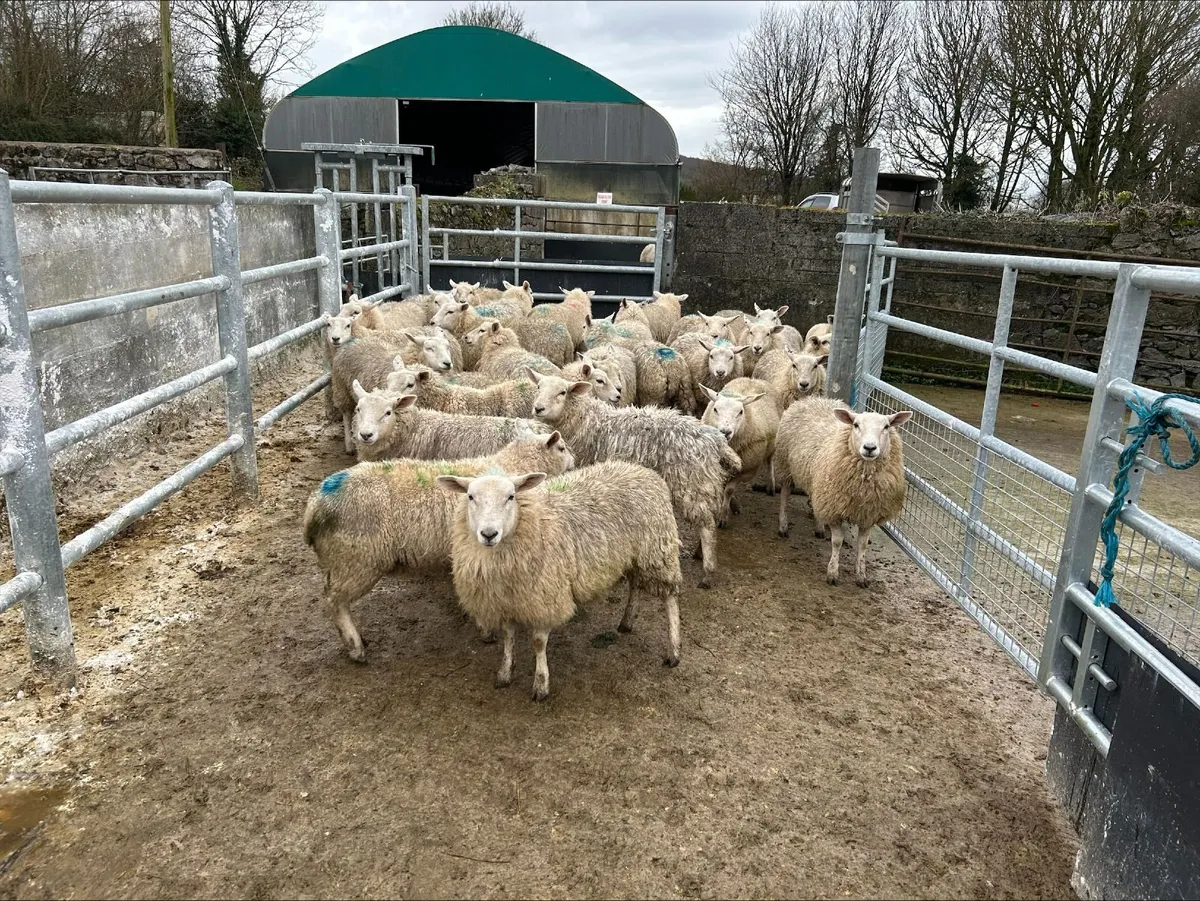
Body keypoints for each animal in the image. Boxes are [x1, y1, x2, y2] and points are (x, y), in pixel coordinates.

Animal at [303, 431, 575, 662]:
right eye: (562, 447)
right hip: (356, 559)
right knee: (335, 602)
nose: (574, 462)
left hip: (342, 559)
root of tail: (316, 505)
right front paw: (486, 631)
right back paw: (355, 646)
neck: (511, 465)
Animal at [438, 460, 682, 700]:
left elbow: (538, 642)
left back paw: (674, 651)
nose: (489, 534)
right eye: (470, 497)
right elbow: (508, 636)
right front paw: (505, 672)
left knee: (670, 598)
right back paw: (627, 621)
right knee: (635, 584)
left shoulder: (546, 598)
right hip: (636, 556)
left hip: (658, 550)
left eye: (511, 496)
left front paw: (541, 685)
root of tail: (642, 470)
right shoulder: (506, 600)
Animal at [528, 371, 741, 587]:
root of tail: (716, 441)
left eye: (562, 392)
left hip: (692, 482)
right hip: (703, 484)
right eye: (538, 386)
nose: (538, 408)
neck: (587, 421)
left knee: (707, 526)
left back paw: (707, 571)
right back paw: (700, 553)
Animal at [699, 378, 780, 527]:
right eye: (715, 409)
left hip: (773, 444)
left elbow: (729, 490)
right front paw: (732, 505)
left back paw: (771, 485)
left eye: (741, 412)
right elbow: (722, 487)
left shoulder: (746, 470)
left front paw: (724, 516)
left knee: (770, 460)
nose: (725, 432)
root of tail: (753, 379)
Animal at [774, 398, 912, 586]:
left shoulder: (868, 514)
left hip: (819, 484)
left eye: (886, 426)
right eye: (856, 425)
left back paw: (819, 527)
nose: (869, 448)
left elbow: (863, 545)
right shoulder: (834, 510)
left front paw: (861, 576)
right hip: (785, 466)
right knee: (784, 495)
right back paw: (783, 526)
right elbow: (837, 542)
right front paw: (832, 573)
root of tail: (811, 399)